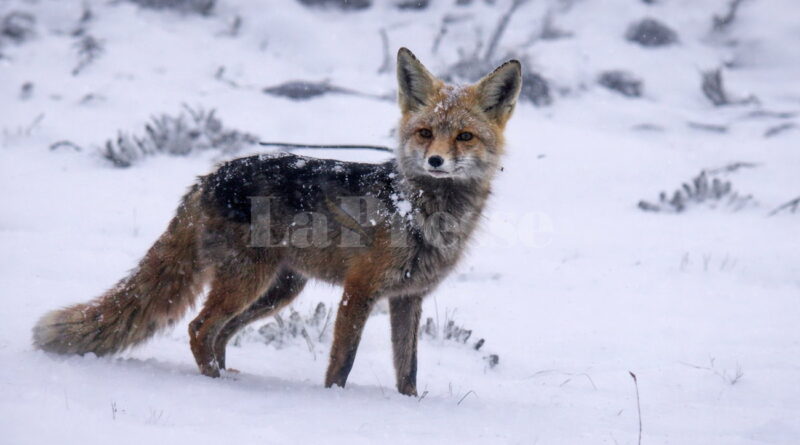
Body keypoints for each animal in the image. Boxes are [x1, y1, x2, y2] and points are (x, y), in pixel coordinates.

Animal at [32, 48, 522, 396]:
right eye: (425, 133)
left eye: (464, 136)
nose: (436, 161)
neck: (418, 210)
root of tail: (209, 177)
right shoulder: (359, 290)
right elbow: (341, 364)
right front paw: (334, 402)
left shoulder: (408, 297)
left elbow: (409, 371)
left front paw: (410, 407)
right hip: (250, 282)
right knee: (199, 328)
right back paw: (215, 386)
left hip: (278, 289)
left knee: (219, 334)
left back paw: (228, 376)